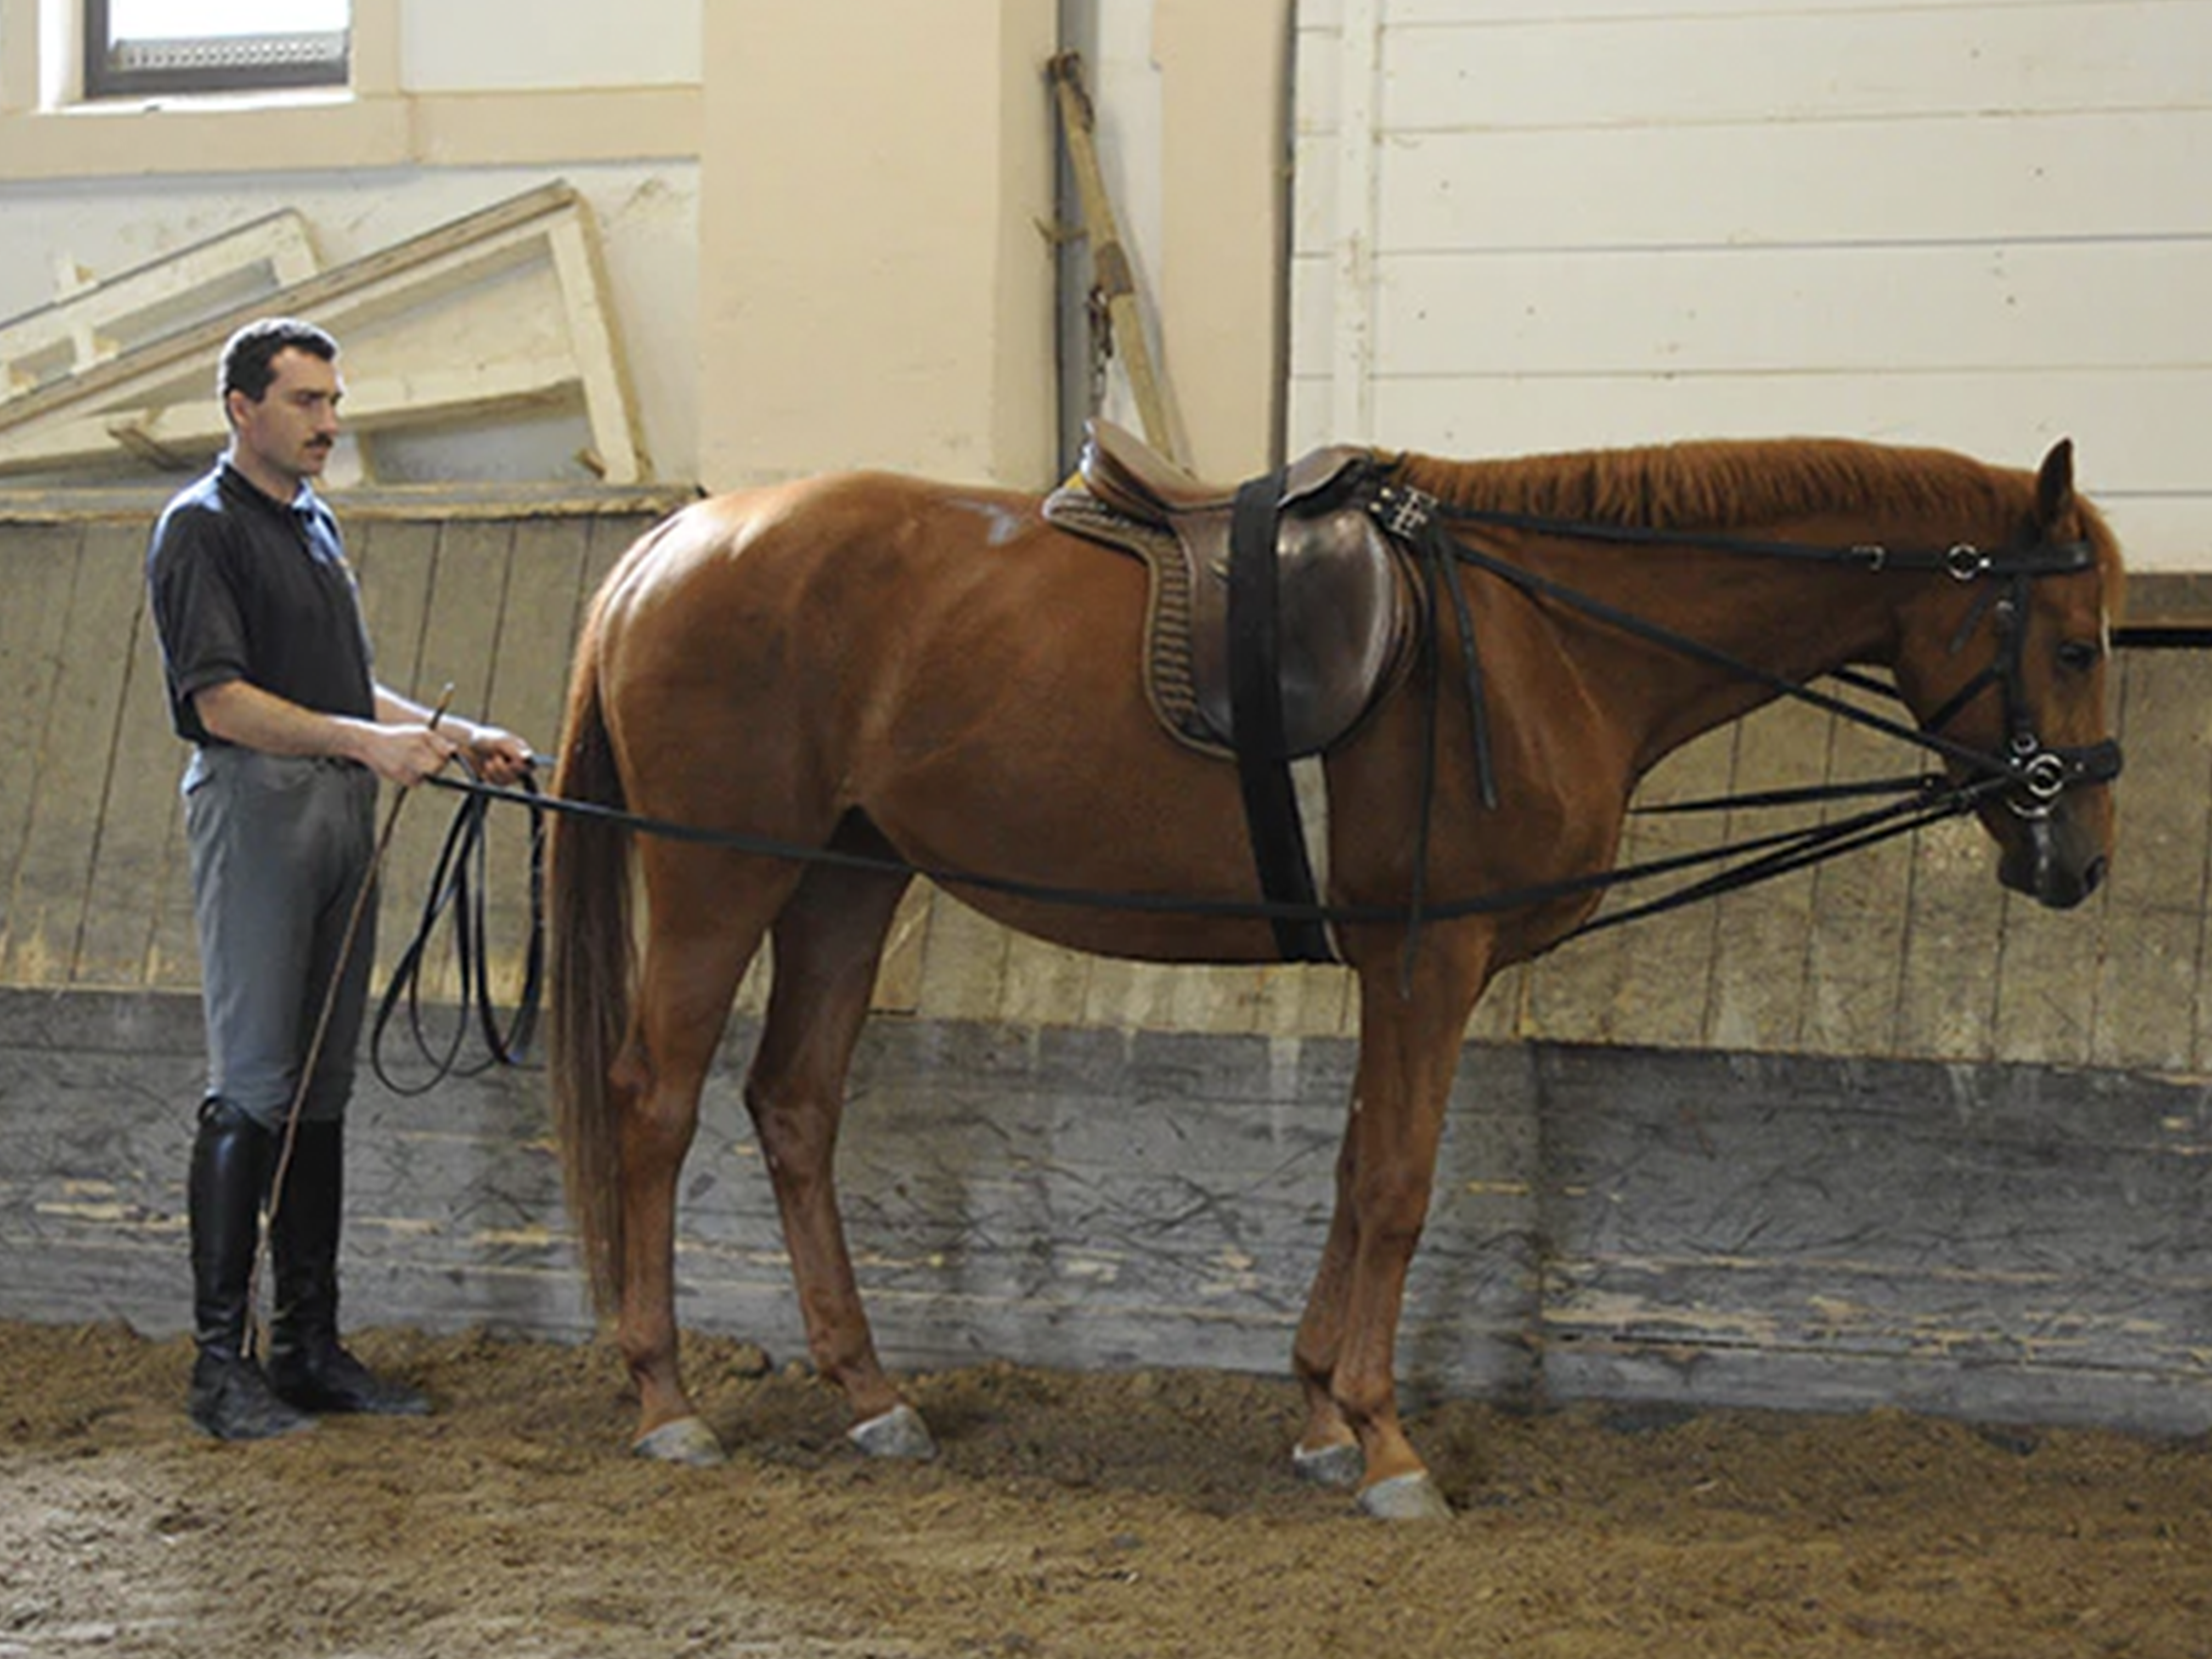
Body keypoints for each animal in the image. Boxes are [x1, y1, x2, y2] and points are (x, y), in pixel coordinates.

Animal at [545, 429, 2122, 1520]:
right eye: (2075, 643)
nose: (2082, 861)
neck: (1547, 635)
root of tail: (666, 551)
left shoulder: (1403, 966)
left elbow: (1363, 1170)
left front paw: (1316, 1418)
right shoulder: (1433, 959)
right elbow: (1401, 1190)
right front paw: (1387, 1443)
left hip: (846, 876)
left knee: (795, 1106)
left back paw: (873, 1395)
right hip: (722, 873)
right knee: (656, 1101)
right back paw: (667, 1400)